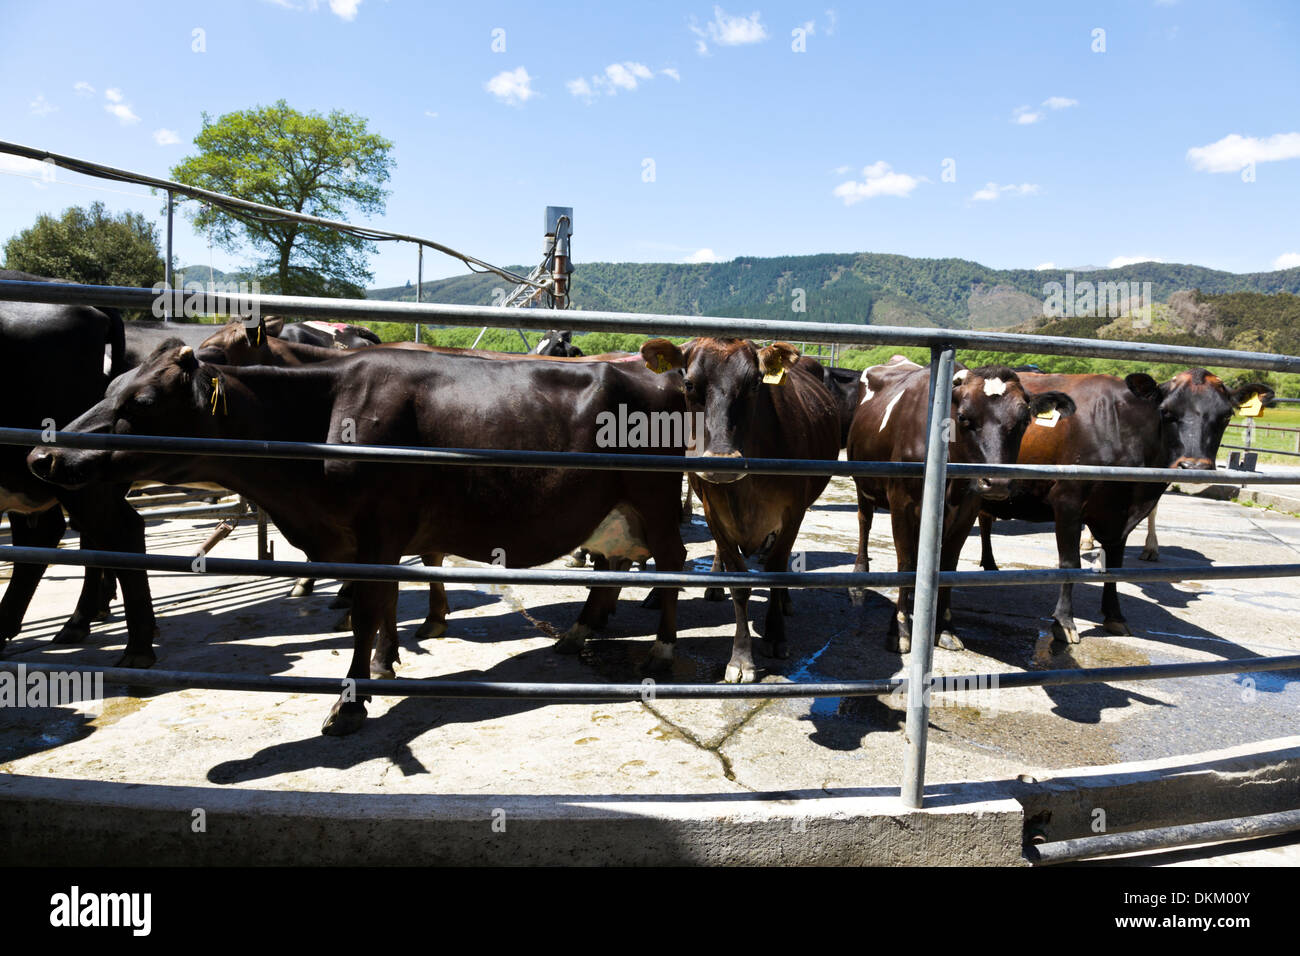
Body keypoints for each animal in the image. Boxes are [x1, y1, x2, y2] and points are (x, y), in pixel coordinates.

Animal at [27, 348, 691, 738]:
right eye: (109, 386)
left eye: (140, 402)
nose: (40, 455)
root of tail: (658, 374)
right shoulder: (364, 538)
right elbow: (382, 605)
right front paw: (384, 661)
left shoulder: (378, 530)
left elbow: (369, 608)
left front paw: (350, 701)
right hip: (613, 508)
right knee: (610, 566)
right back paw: (578, 633)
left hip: (657, 501)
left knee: (674, 563)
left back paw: (661, 651)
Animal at [634, 335, 837, 681]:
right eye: (689, 383)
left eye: (755, 383)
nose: (722, 461)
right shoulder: (714, 513)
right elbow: (740, 584)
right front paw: (741, 659)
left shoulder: (793, 513)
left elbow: (776, 570)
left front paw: (776, 635)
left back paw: (785, 602)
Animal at [847, 356, 1071, 655]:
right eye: (964, 417)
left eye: (1024, 420)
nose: (997, 482)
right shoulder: (901, 502)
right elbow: (905, 562)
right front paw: (900, 628)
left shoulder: (967, 509)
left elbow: (947, 565)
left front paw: (944, 627)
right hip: (863, 483)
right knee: (864, 521)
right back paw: (861, 571)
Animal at [977, 369, 1268, 647]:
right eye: (1167, 412)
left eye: (1226, 415)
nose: (1194, 466)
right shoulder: (1067, 500)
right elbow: (1070, 563)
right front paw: (1064, 622)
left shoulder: (1121, 515)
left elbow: (1115, 565)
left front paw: (1114, 616)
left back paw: (990, 565)